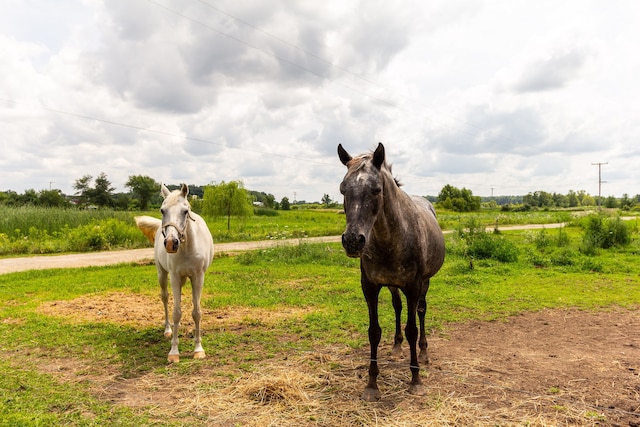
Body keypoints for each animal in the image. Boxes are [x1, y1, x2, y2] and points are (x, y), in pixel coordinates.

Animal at [135, 184, 215, 364]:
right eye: (162, 210)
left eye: (185, 211)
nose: (171, 243)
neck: (187, 249)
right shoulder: (174, 277)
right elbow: (176, 313)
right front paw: (174, 352)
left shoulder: (198, 277)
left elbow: (196, 312)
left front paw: (198, 349)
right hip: (162, 274)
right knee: (165, 298)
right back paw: (167, 330)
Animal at [340, 143, 444, 402]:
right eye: (343, 189)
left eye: (377, 189)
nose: (353, 241)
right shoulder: (370, 287)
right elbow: (374, 331)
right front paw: (371, 384)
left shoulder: (413, 286)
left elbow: (412, 330)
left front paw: (416, 380)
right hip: (392, 285)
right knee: (397, 308)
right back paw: (396, 347)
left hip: (424, 283)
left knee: (421, 311)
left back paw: (424, 353)